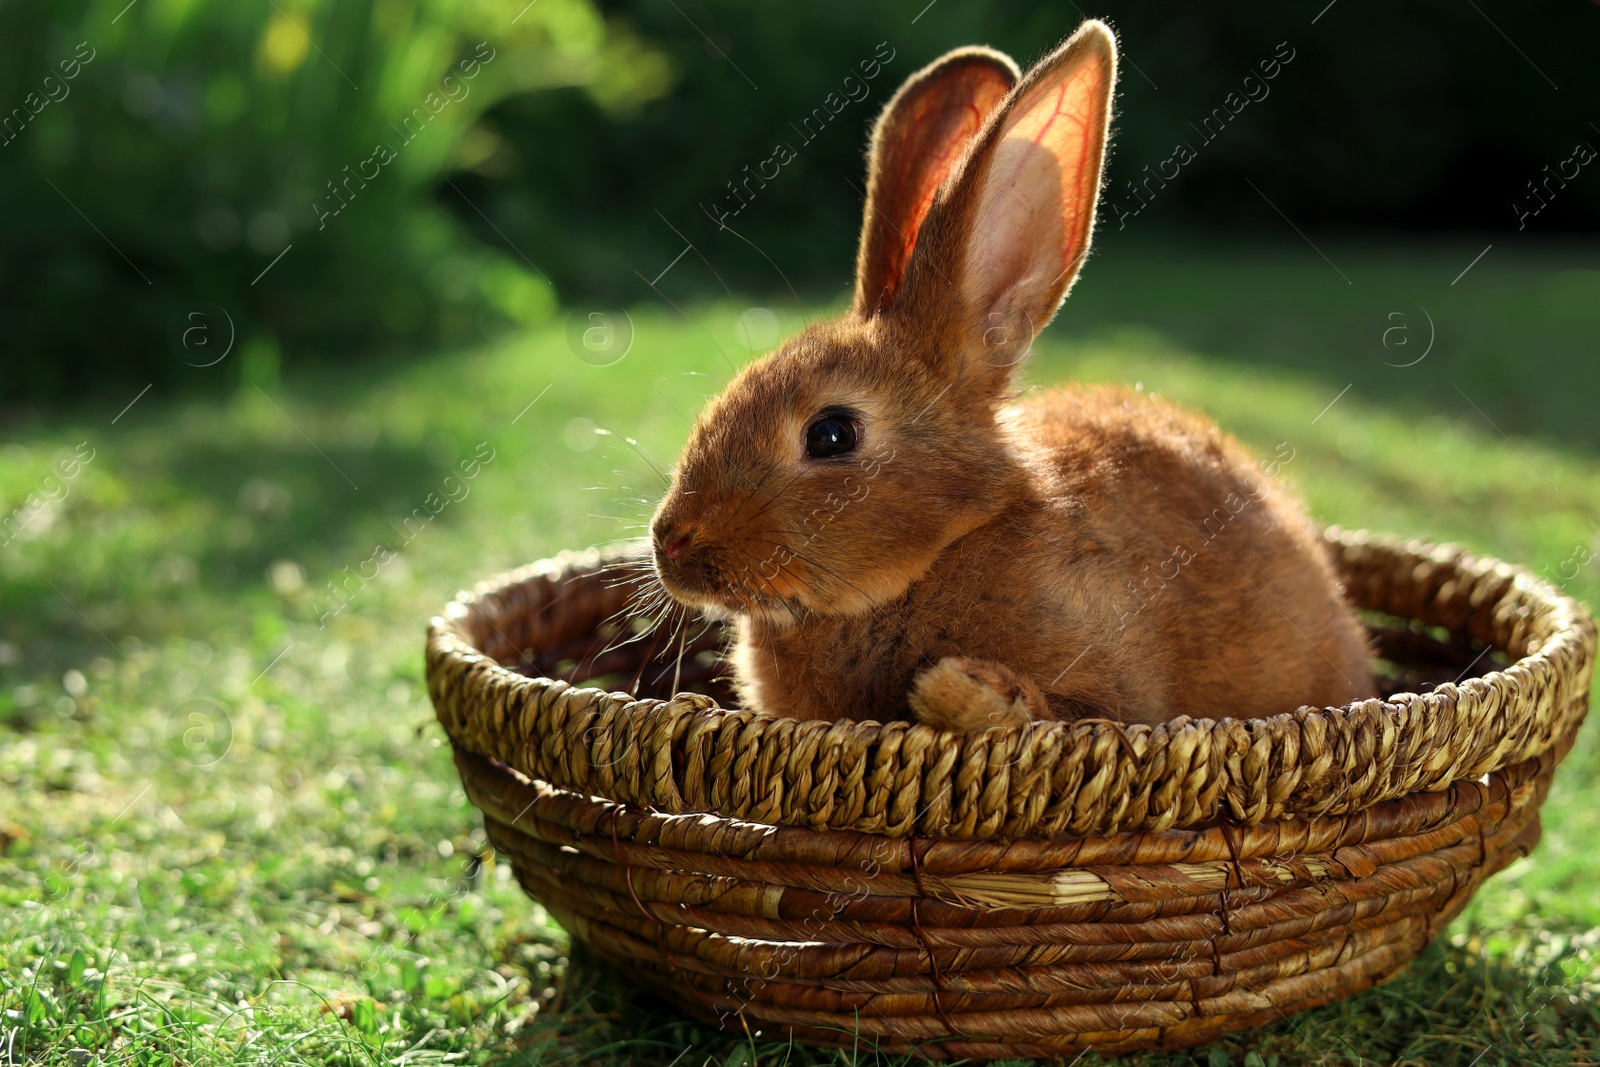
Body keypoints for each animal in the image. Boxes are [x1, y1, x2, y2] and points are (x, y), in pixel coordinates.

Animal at [646, 20, 1376, 729]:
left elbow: (1072, 711)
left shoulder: (1115, 691)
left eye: (832, 434)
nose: (670, 541)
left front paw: (962, 694)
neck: (950, 542)